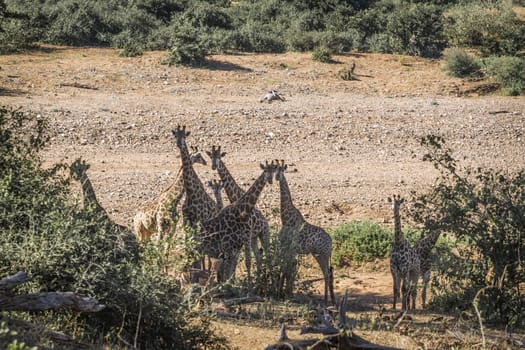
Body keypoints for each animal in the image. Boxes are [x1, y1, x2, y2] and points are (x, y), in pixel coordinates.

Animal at [272, 160, 334, 304]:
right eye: (274, 170)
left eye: (282, 170)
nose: (277, 177)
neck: (286, 218)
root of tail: (331, 241)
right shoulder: (289, 250)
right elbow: (286, 270)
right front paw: (283, 293)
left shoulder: (289, 249)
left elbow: (285, 270)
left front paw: (282, 293)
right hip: (320, 255)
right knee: (328, 273)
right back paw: (330, 300)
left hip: (322, 254)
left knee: (326, 273)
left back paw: (325, 300)